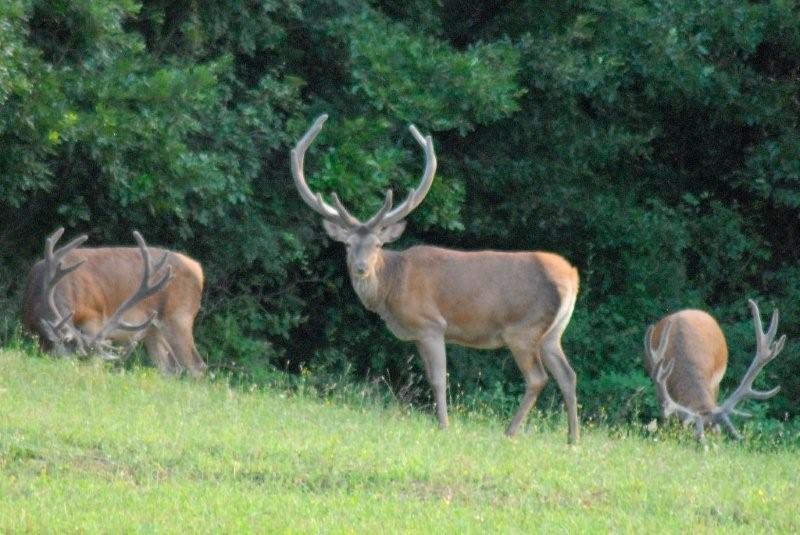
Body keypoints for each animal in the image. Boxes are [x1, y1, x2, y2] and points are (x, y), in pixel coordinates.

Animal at [23, 229, 208, 376]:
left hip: (179, 317)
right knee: (169, 367)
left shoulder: (94, 316)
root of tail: (197, 269)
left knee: (196, 365)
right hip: (153, 329)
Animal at [294, 114, 580, 444]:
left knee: (537, 377)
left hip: (522, 328)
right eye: (348, 245)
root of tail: (571, 276)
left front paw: (443, 426)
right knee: (568, 375)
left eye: (378, 245)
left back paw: (510, 432)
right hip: (552, 333)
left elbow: (437, 379)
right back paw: (573, 440)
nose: (361, 267)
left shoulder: (431, 324)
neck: (392, 287)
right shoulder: (418, 334)